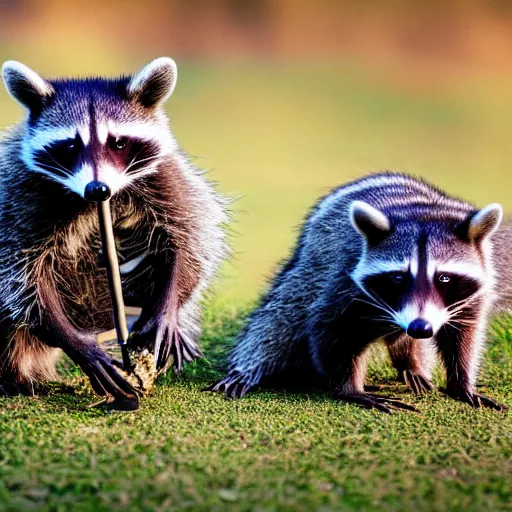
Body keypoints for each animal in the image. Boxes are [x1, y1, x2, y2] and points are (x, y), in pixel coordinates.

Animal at [0, 57, 228, 408]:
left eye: (118, 142)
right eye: (70, 145)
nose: (98, 189)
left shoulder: (165, 176)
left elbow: (190, 239)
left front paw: (166, 311)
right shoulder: (18, 193)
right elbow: (20, 277)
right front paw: (77, 344)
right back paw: (14, 376)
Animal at [209, 172, 512, 412]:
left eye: (444, 278)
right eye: (398, 277)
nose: (420, 327)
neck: (423, 213)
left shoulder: (474, 291)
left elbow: (465, 335)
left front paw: (462, 383)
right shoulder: (344, 277)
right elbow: (331, 331)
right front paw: (348, 387)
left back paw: (411, 363)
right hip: (310, 264)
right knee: (283, 313)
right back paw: (249, 368)